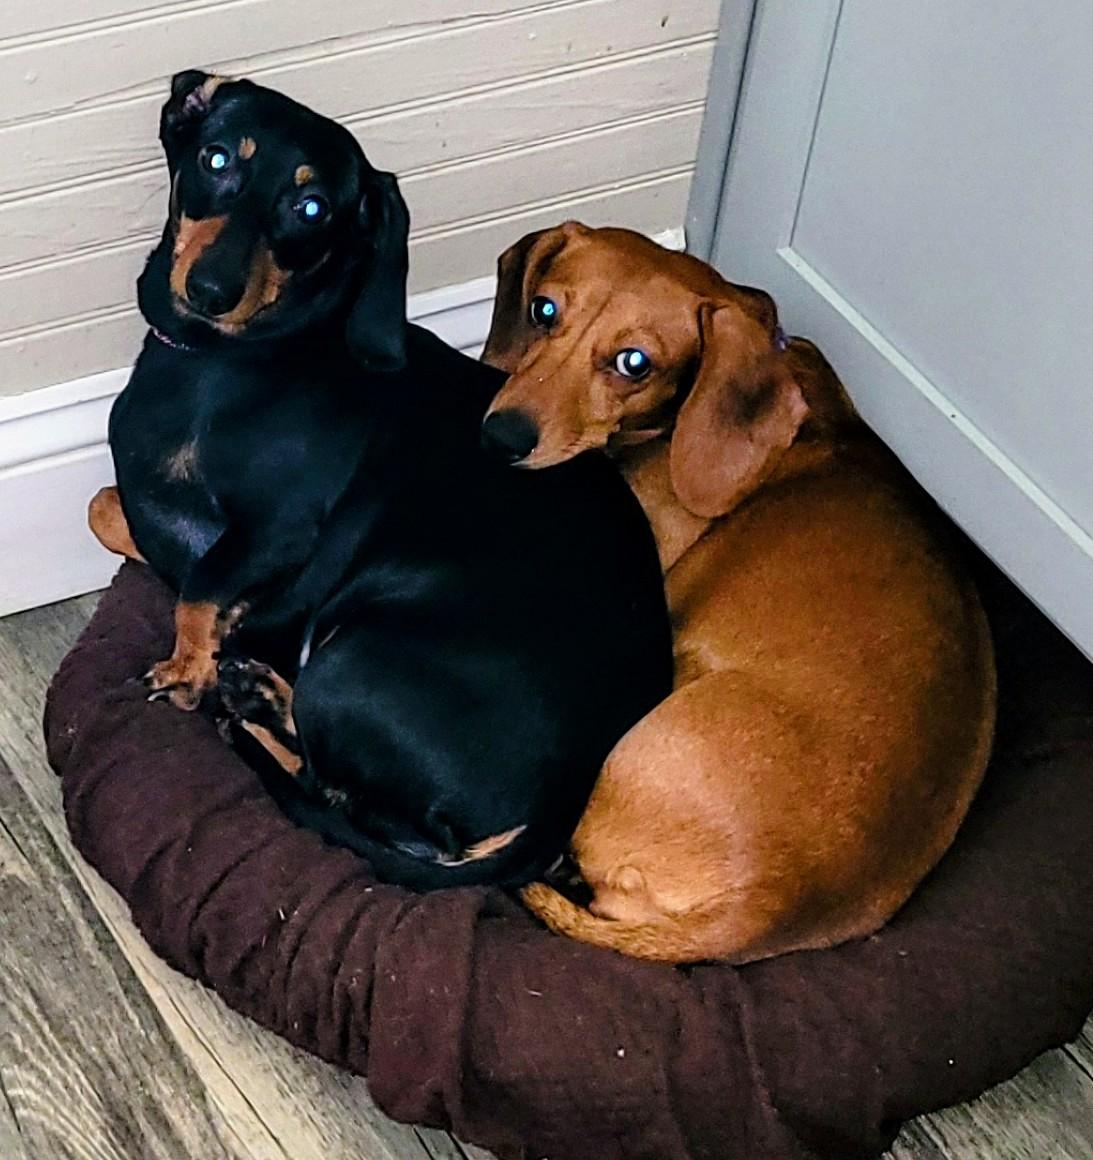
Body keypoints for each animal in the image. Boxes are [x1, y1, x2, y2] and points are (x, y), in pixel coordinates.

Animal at [91, 79, 672, 890]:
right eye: (216, 159)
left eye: (312, 209)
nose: (209, 290)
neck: (225, 362)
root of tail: (559, 810)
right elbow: (110, 511)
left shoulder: (280, 528)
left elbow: (204, 582)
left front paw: (187, 666)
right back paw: (256, 689)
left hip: (352, 660)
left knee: (337, 794)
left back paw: (246, 705)